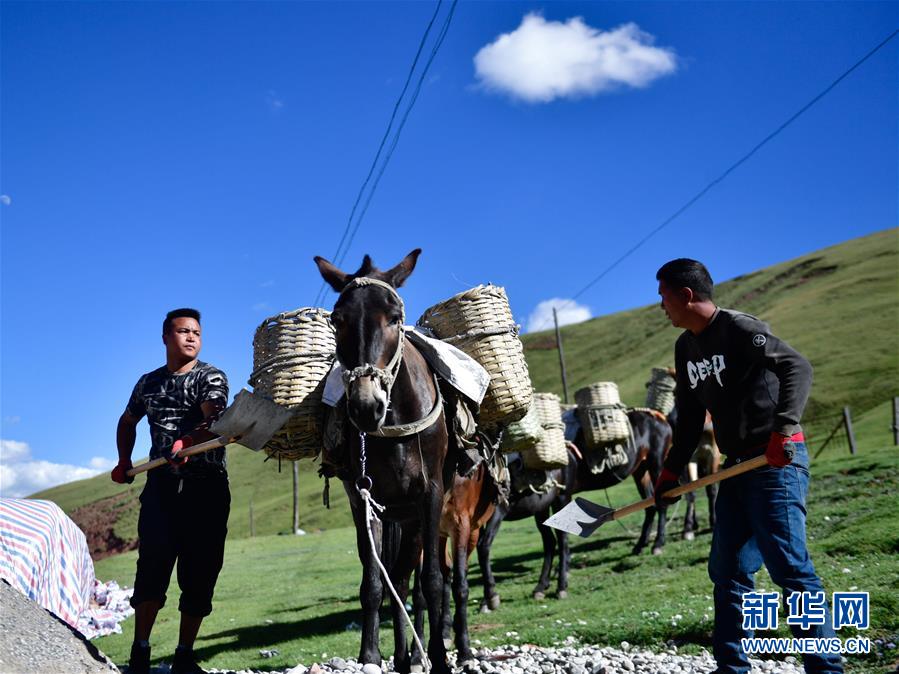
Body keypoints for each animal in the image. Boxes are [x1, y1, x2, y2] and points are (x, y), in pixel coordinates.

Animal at [316, 249, 454, 668]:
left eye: (395, 317)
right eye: (337, 320)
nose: (366, 406)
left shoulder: (431, 495)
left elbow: (432, 581)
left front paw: (439, 657)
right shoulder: (363, 499)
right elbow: (374, 583)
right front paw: (371, 655)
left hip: (414, 517)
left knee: (413, 580)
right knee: (399, 579)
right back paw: (404, 656)